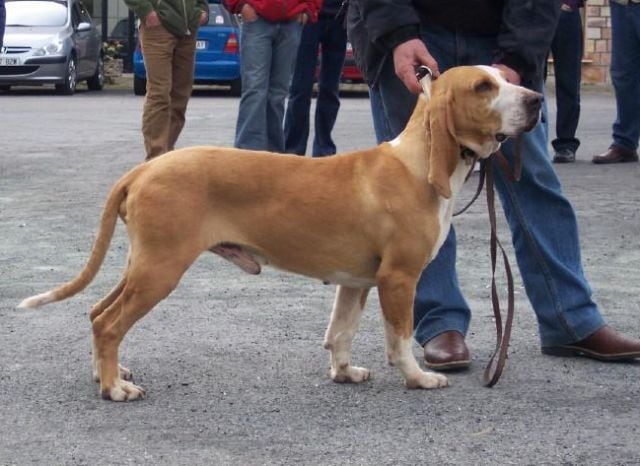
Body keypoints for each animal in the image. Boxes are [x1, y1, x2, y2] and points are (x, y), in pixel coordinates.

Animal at [18, 64, 540, 400]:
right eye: (484, 86)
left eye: (506, 76)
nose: (535, 99)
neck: (417, 163)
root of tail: (143, 169)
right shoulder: (398, 279)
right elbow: (400, 338)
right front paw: (418, 378)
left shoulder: (356, 283)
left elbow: (340, 332)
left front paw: (344, 373)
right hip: (159, 270)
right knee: (109, 323)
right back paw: (114, 388)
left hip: (142, 265)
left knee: (96, 314)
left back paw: (105, 373)